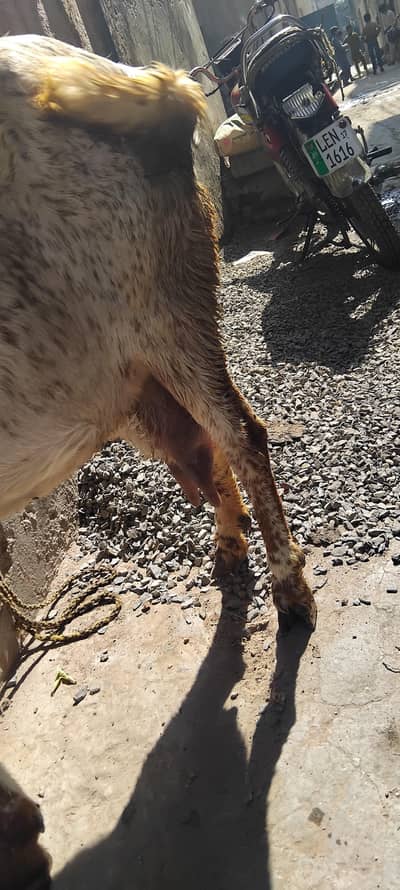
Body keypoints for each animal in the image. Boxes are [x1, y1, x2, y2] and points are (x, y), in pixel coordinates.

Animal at [0, 35, 316, 886]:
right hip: (126, 381)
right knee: (211, 447)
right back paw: (230, 547)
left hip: (162, 308)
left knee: (240, 434)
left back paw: (289, 592)